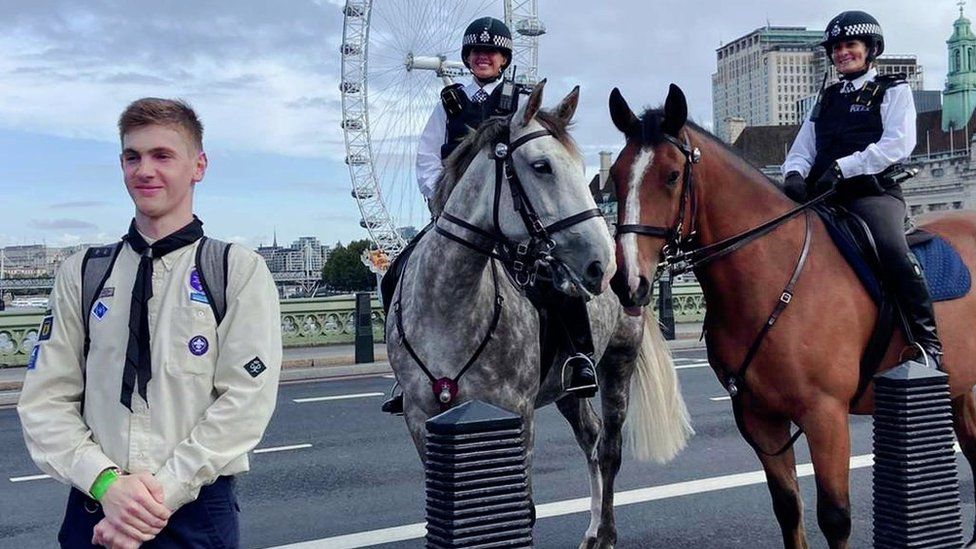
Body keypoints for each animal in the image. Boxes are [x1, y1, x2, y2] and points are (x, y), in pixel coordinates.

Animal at [386, 82, 696, 548]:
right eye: (541, 166)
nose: (606, 265)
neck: (449, 304)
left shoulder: (516, 411)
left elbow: (524, 507)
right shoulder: (421, 416)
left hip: (618, 360)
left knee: (609, 448)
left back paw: (605, 532)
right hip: (567, 385)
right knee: (590, 435)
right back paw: (592, 529)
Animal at [608, 82, 976, 548]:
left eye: (672, 175)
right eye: (617, 175)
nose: (629, 281)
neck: (774, 274)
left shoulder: (826, 415)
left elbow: (835, 516)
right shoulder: (757, 416)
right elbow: (787, 506)